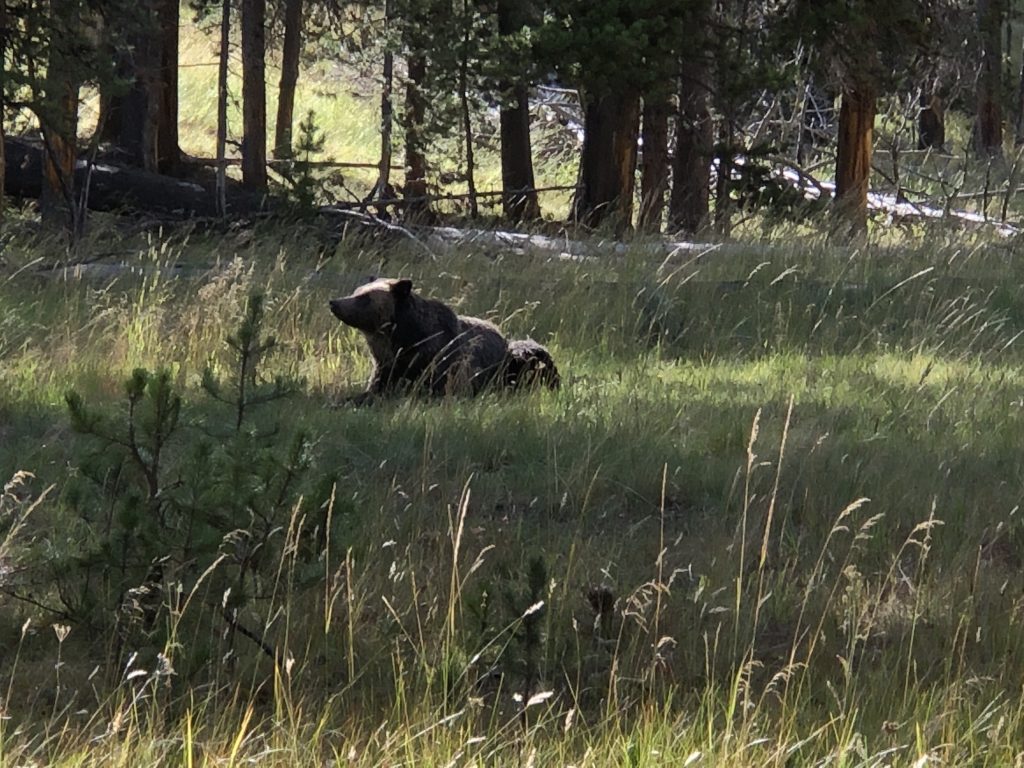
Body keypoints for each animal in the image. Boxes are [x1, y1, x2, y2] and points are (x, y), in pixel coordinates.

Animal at [329, 277, 559, 403]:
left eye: (365, 297)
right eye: (356, 291)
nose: (334, 302)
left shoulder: (438, 365)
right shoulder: (387, 366)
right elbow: (373, 389)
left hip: (514, 362)